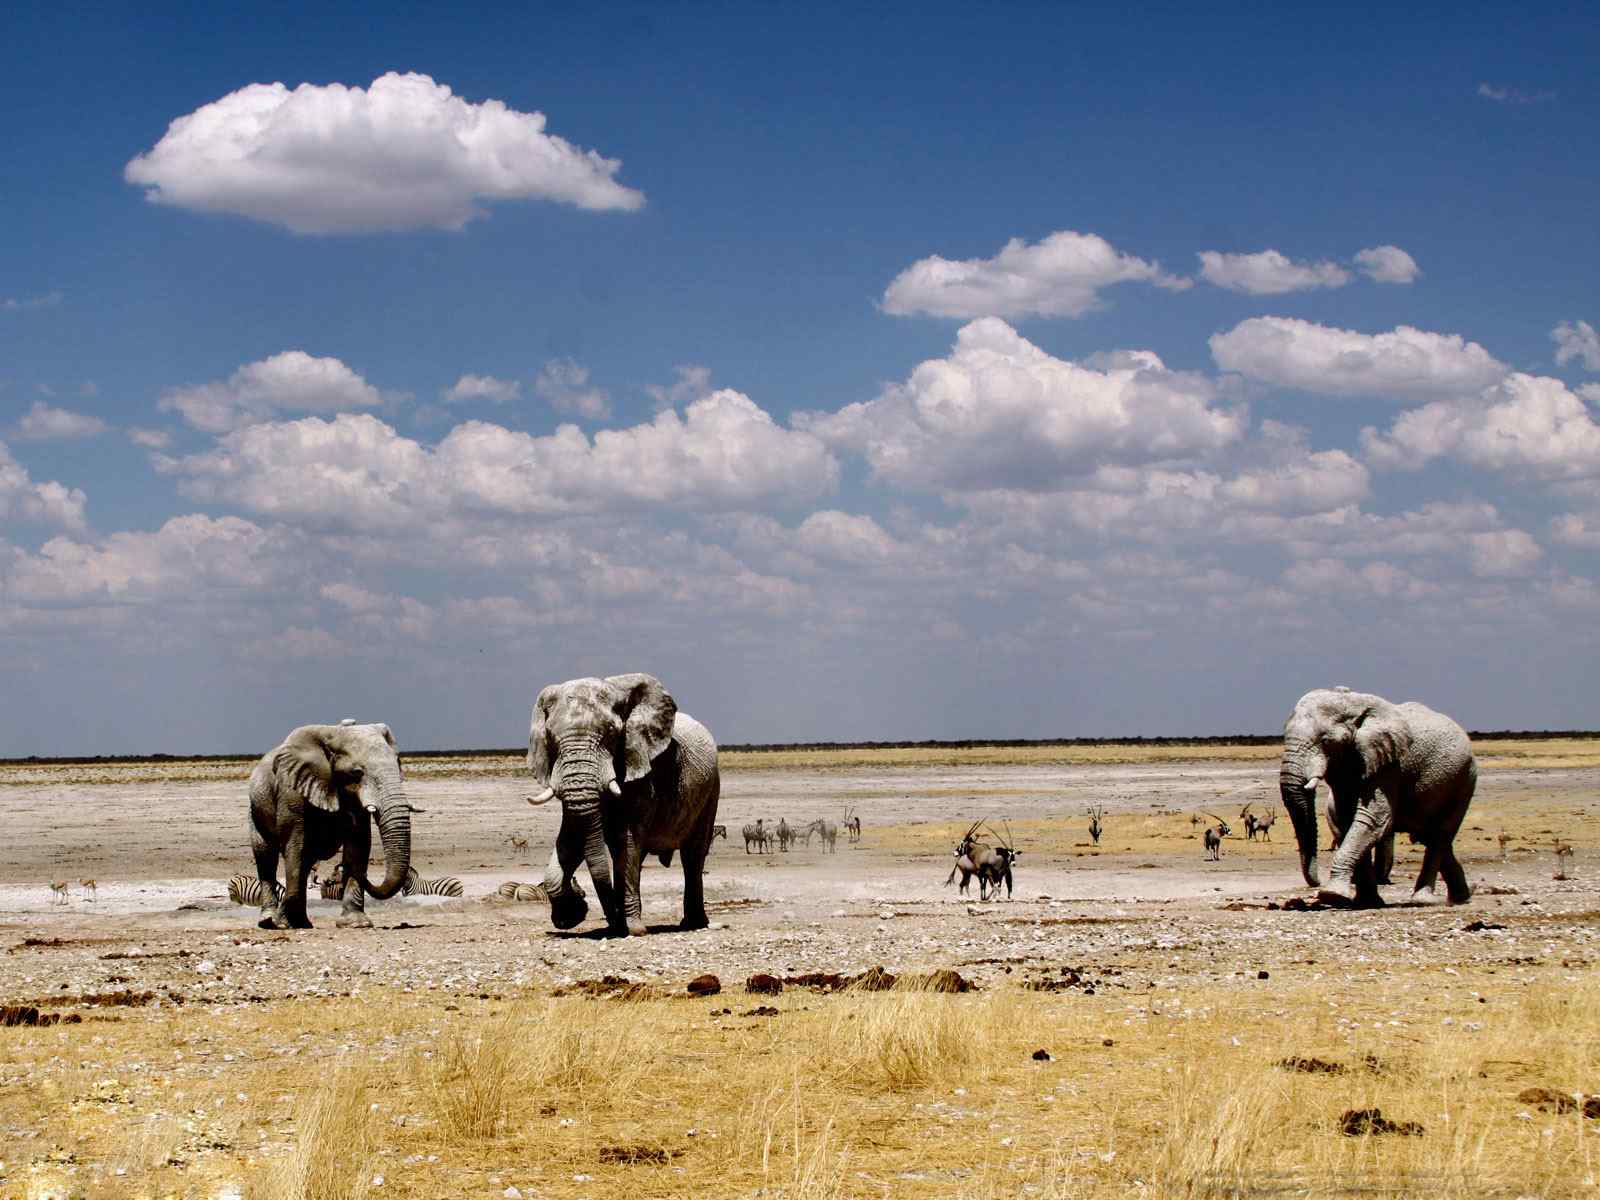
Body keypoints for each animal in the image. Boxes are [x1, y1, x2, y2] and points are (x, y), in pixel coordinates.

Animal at [244, 723, 416, 928]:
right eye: (357, 773)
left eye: (398, 763)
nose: (338, 869)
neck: (335, 733)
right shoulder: (291, 789)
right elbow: (295, 843)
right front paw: (282, 924)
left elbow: (358, 844)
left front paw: (356, 923)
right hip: (256, 809)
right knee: (266, 857)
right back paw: (268, 921)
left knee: (305, 862)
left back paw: (302, 923)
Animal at [524, 678, 720, 940]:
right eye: (551, 737)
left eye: (611, 734)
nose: (613, 925)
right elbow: (571, 839)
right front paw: (571, 917)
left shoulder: (640, 769)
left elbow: (625, 842)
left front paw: (635, 930)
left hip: (711, 789)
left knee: (692, 856)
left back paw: (692, 923)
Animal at [1280, 684, 1478, 908]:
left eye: (1325, 741)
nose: (1316, 882)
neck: (1352, 703)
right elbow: (1347, 819)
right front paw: (1366, 902)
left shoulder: (1389, 765)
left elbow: (1373, 819)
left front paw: (1332, 895)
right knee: (1429, 836)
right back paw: (1462, 897)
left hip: (1464, 779)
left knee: (1439, 834)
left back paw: (1424, 900)